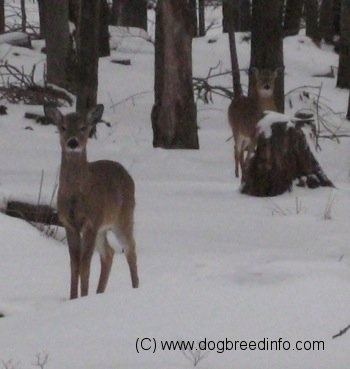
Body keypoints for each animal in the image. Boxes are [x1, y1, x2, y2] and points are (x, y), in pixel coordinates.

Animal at [44, 103, 139, 300]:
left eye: (83, 127)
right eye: (63, 127)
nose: (73, 142)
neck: (76, 196)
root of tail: (126, 173)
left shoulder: (91, 222)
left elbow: (85, 265)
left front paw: (83, 297)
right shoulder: (69, 223)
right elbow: (74, 264)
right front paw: (73, 298)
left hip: (123, 217)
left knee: (130, 249)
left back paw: (136, 288)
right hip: (103, 228)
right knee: (109, 253)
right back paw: (99, 293)